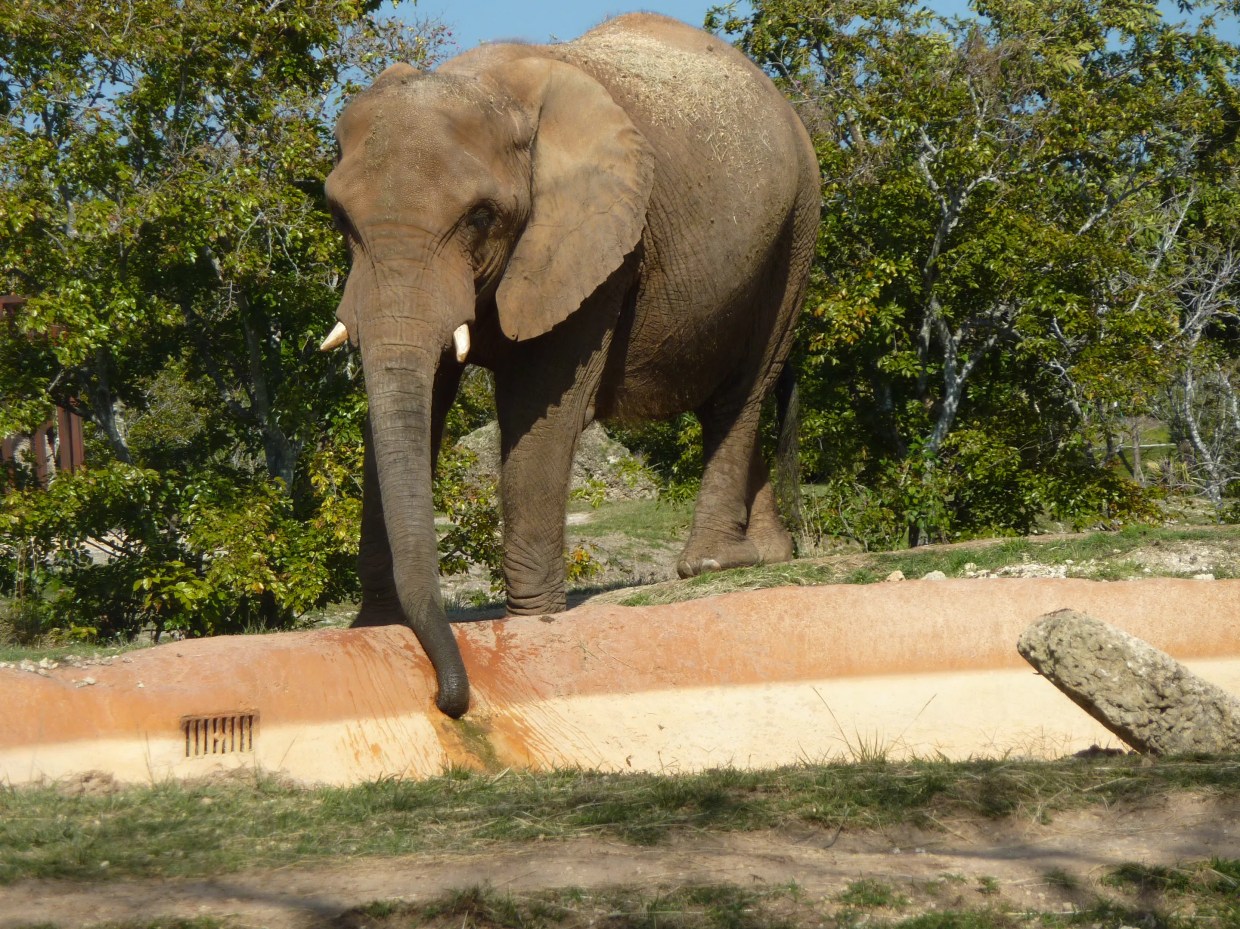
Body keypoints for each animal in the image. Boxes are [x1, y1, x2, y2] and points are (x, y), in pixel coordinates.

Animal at [321, 13, 820, 717]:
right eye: (338, 217)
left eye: (480, 217)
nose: (449, 698)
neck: (484, 85)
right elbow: (420, 393)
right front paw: (373, 628)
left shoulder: (599, 243)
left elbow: (538, 400)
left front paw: (534, 620)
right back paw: (770, 557)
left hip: (799, 226)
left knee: (744, 391)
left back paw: (713, 566)